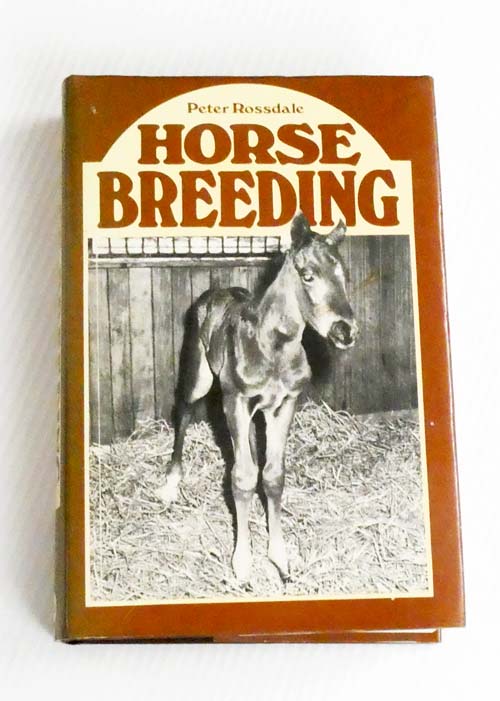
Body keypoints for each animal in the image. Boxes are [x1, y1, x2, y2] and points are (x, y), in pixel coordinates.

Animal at [156, 212, 359, 581]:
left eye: (343, 275)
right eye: (308, 275)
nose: (345, 331)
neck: (274, 347)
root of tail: (215, 290)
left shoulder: (284, 405)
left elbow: (273, 475)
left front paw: (279, 556)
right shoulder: (235, 401)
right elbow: (242, 477)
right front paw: (242, 561)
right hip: (199, 376)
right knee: (183, 412)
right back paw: (170, 485)